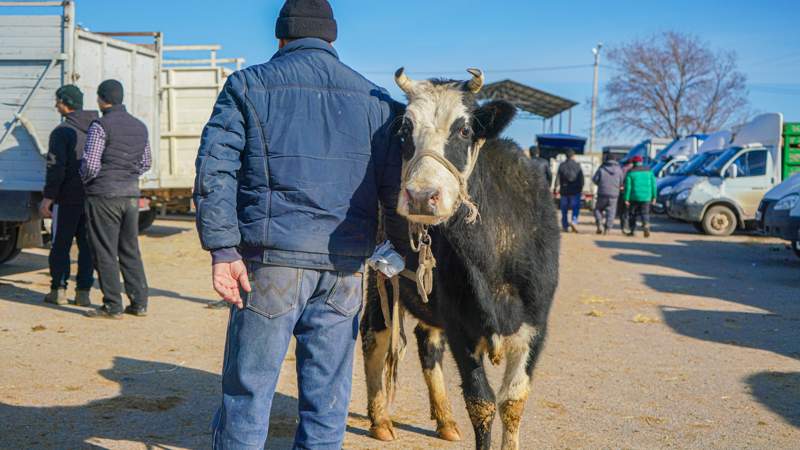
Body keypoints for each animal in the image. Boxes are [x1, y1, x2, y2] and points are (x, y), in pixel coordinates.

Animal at [360, 67, 560, 450]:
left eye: (465, 130)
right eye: (405, 131)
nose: (421, 196)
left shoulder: (536, 326)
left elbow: (513, 401)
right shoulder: (460, 325)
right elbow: (481, 402)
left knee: (427, 344)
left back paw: (445, 419)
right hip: (378, 282)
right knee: (374, 335)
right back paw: (380, 420)